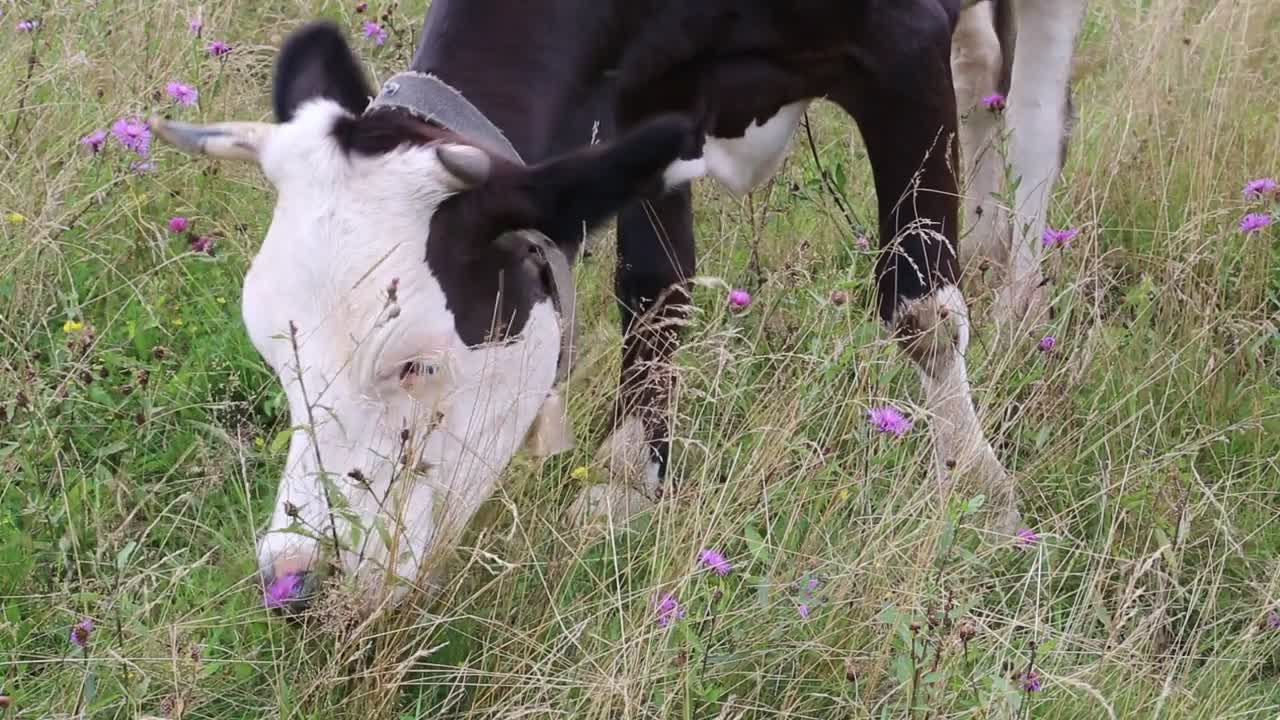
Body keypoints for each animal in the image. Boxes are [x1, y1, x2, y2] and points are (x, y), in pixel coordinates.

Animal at [154, 0, 1085, 607]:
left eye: (416, 360)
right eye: (277, 358)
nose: (293, 582)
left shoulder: (899, 43)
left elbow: (920, 305)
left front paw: (979, 493)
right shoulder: (647, 98)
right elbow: (655, 286)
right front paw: (631, 478)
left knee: (1035, 114)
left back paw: (1023, 297)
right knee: (982, 71)